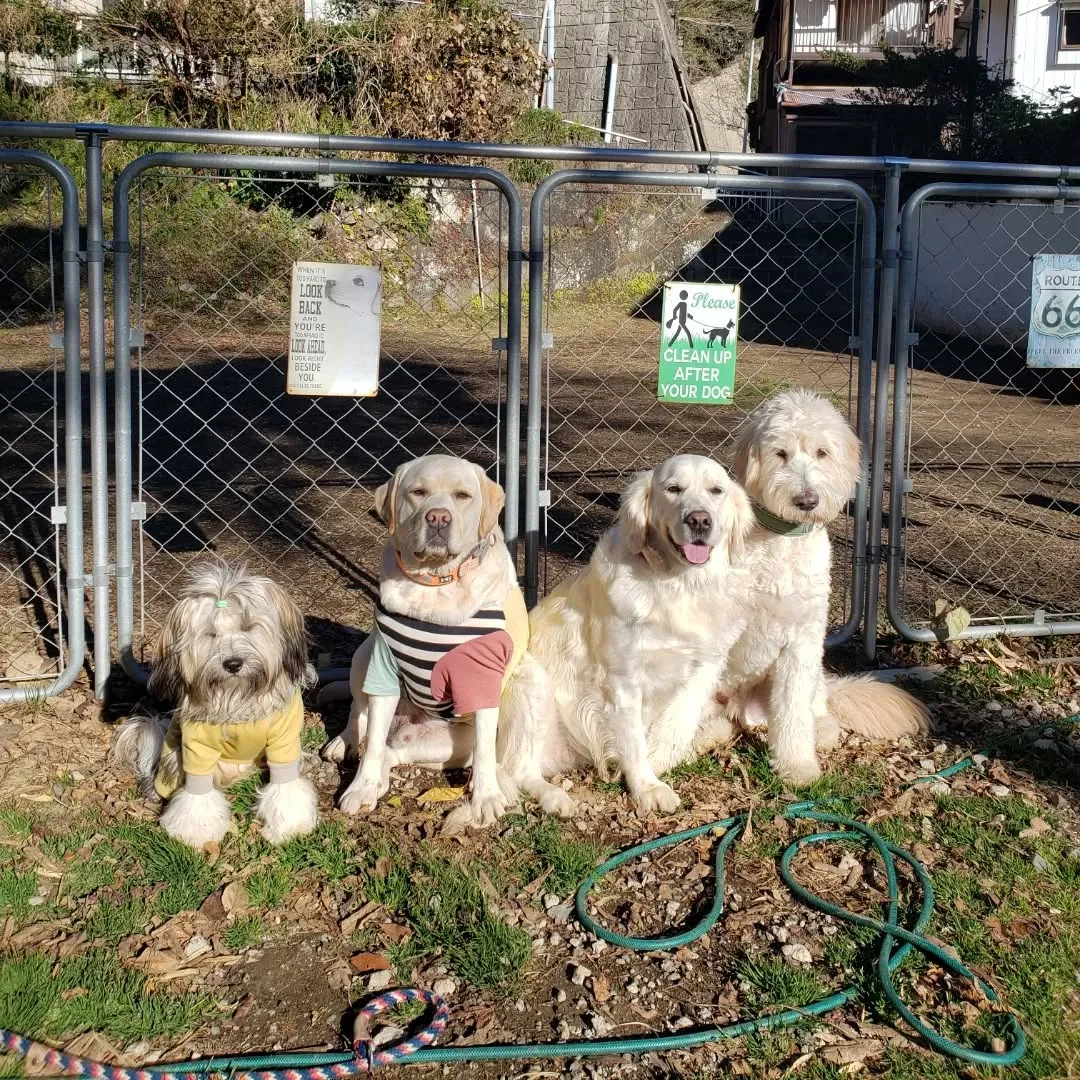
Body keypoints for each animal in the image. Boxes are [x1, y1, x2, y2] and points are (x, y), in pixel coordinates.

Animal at [112, 561, 317, 846]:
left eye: (248, 626)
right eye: (211, 634)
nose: (233, 663)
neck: (238, 698)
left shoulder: (283, 740)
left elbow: (286, 785)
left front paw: (290, 826)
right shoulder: (197, 747)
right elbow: (197, 795)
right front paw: (195, 833)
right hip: (174, 757)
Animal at [317, 451, 524, 829]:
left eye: (462, 496)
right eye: (418, 492)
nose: (438, 517)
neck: (436, 581)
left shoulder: (484, 678)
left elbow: (486, 750)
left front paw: (486, 797)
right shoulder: (383, 665)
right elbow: (371, 745)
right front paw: (360, 787)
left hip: (451, 741)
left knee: (396, 751)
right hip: (363, 656)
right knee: (362, 718)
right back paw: (346, 744)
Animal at [695, 388, 933, 786]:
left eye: (822, 452)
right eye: (780, 453)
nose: (807, 501)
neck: (783, 542)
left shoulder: (801, 643)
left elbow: (793, 713)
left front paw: (796, 766)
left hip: (803, 687)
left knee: (813, 719)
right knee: (720, 721)